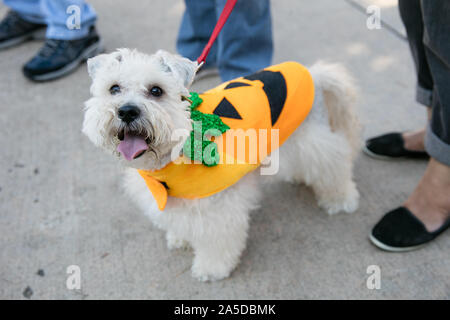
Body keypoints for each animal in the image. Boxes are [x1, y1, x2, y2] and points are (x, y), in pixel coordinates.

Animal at [82, 48, 360, 282]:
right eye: (114, 88)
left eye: (156, 91)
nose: (127, 111)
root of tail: (313, 74)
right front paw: (180, 238)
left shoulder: (218, 209)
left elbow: (217, 242)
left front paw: (211, 269)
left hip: (314, 140)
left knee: (335, 164)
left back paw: (340, 199)